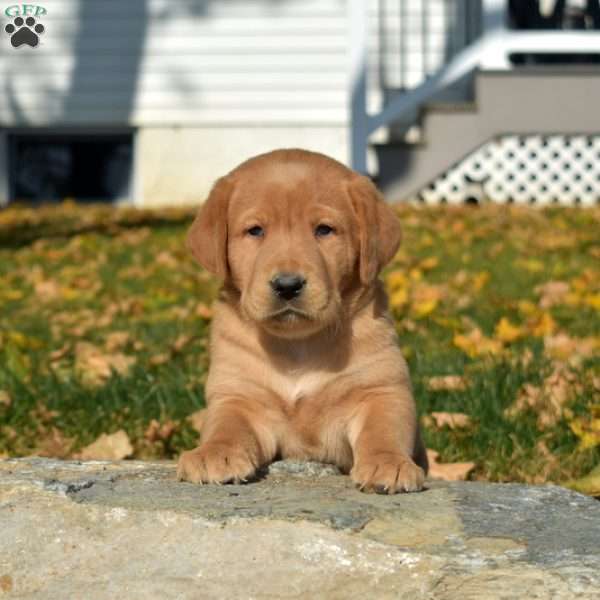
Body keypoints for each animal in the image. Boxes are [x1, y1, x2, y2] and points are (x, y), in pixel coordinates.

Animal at [176, 149, 428, 492]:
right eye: (255, 231)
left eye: (324, 230)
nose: (287, 285)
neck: (298, 346)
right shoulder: (237, 395)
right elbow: (226, 426)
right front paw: (216, 453)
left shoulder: (382, 389)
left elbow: (384, 428)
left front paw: (388, 463)